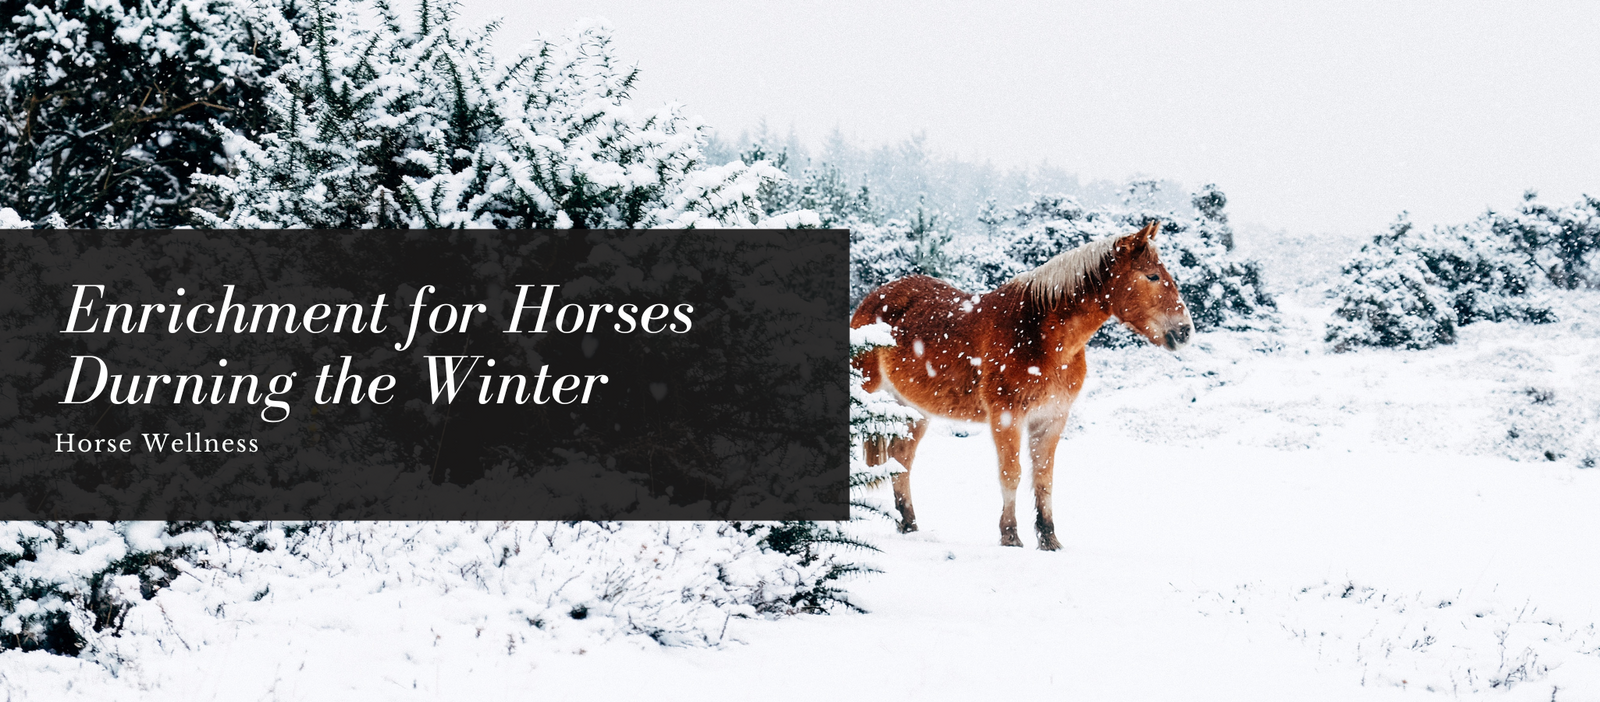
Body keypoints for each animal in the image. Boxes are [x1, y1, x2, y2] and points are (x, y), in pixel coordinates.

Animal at [850, 220, 1193, 550]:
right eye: (1152, 276)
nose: (1185, 330)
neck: (1040, 336)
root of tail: (871, 301)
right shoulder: (1006, 416)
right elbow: (1011, 474)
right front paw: (1010, 536)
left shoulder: (1052, 418)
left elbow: (1043, 479)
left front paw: (1049, 539)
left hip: (914, 409)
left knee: (901, 460)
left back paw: (908, 525)